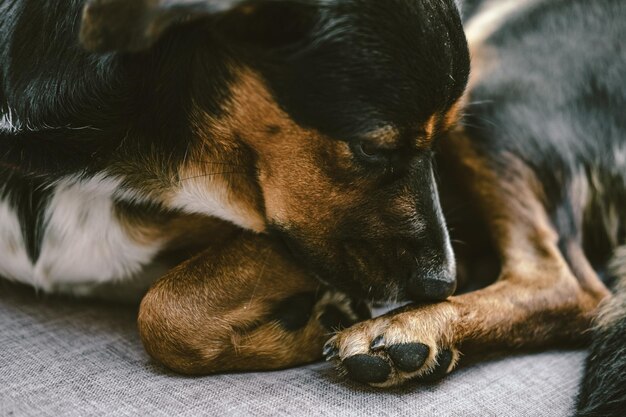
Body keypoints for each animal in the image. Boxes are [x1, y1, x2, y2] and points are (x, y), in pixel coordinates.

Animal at [0, 0, 620, 412]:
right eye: (372, 148)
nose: (443, 281)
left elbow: (165, 309)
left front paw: (318, 319)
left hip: (496, 68)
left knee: (570, 286)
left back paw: (408, 332)